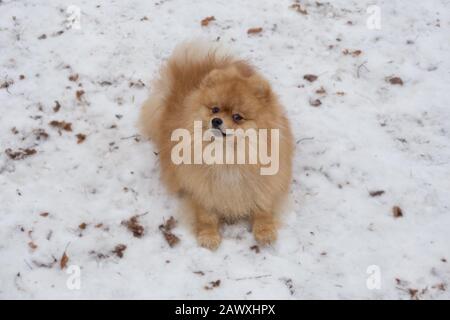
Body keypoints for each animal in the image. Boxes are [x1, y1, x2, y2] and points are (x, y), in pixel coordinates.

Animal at [141, 40, 296, 250]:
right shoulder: (201, 188)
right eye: (214, 109)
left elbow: (263, 207)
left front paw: (265, 231)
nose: (216, 120)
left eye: (237, 117)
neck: (227, 155)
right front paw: (208, 235)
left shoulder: (262, 183)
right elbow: (206, 215)